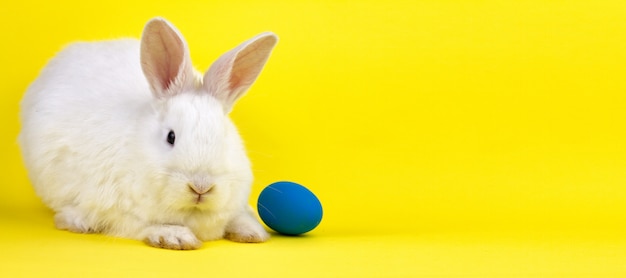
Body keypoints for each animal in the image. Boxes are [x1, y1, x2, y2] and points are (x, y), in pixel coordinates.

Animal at [18, 18, 276, 251]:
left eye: (224, 137)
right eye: (171, 137)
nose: (201, 187)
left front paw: (252, 232)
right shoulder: (118, 212)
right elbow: (140, 225)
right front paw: (175, 237)